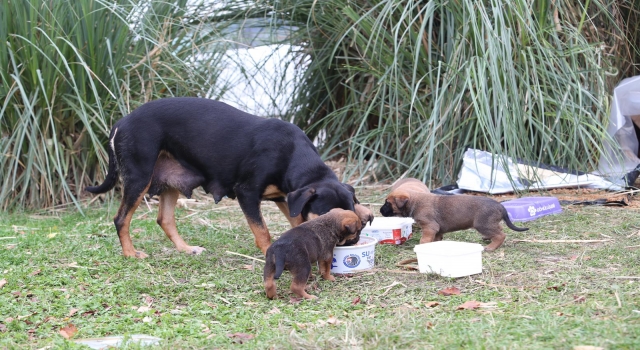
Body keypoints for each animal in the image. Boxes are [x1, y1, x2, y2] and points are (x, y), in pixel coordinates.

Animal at [82, 97, 358, 258]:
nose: (351, 242)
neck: (291, 154)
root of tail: (121, 122)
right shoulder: (247, 193)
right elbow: (262, 231)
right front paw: (269, 251)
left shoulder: (286, 198)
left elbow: (297, 223)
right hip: (139, 178)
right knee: (121, 219)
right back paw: (130, 253)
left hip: (169, 181)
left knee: (165, 220)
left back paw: (186, 248)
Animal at [382, 178, 528, 252]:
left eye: (388, 203)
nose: (380, 211)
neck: (414, 201)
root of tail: (500, 206)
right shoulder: (437, 229)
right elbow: (436, 238)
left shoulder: (429, 226)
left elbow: (424, 239)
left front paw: (422, 246)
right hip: (489, 224)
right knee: (499, 229)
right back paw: (488, 238)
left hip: (482, 224)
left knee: (501, 235)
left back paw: (491, 247)